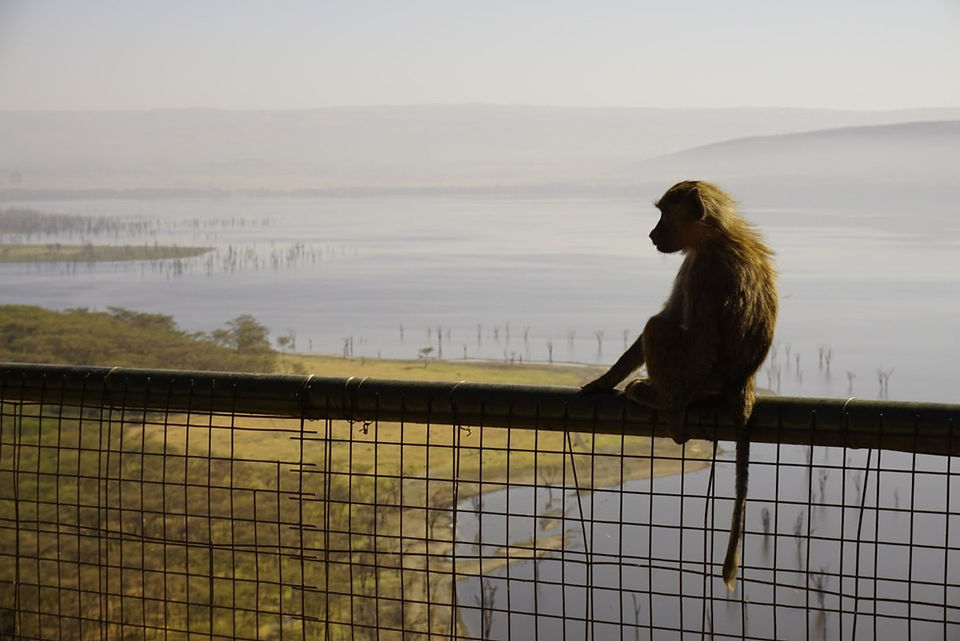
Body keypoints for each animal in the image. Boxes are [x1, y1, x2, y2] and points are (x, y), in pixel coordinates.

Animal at [581, 180, 778, 590]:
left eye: (664, 215)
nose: (652, 234)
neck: (716, 235)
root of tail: (744, 380)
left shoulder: (700, 270)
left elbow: (701, 339)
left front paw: (673, 408)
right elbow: (672, 314)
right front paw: (604, 380)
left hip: (700, 379)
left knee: (660, 328)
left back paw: (657, 396)